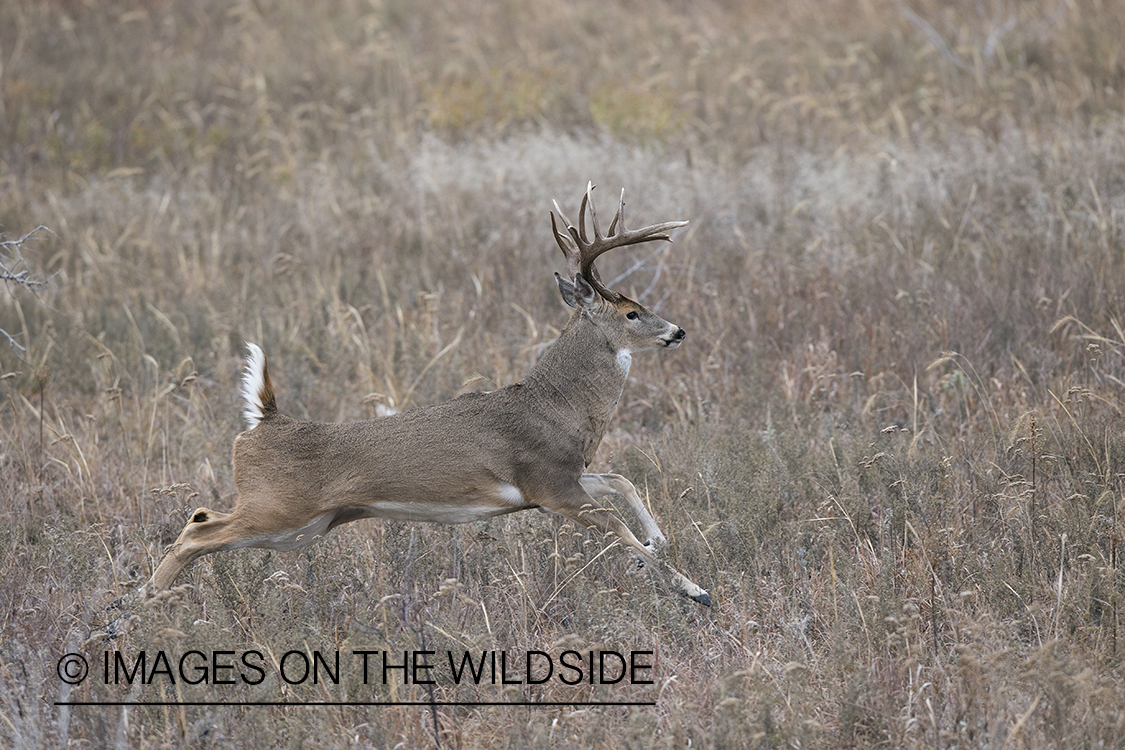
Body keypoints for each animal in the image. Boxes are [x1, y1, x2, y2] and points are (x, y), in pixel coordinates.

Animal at [149, 184, 711, 607]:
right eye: (633, 312)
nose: (678, 331)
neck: (557, 407)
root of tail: (263, 421)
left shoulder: (560, 478)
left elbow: (620, 480)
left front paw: (657, 541)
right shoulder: (550, 483)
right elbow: (614, 522)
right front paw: (693, 589)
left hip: (303, 526)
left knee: (199, 520)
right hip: (279, 507)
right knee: (196, 533)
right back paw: (138, 607)